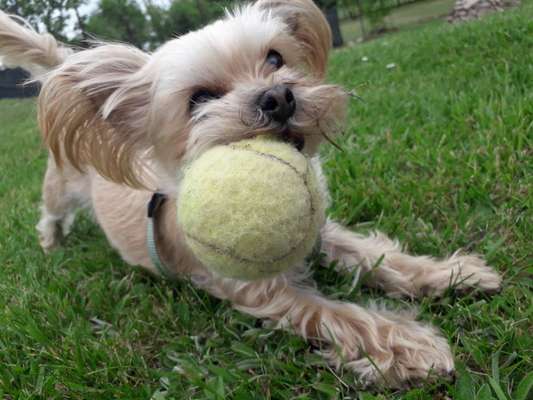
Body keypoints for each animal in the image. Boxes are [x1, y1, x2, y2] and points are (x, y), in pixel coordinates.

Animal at [0, 0, 502, 388]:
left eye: (276, 59)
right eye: (199, 99)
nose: (278, 96)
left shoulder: (321, 234)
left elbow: (377, 256)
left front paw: (448, 274)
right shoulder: (264, 292)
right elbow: (340, 316)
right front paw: (409, 345)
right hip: (61, 186)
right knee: (50, 212)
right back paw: (51, 243)